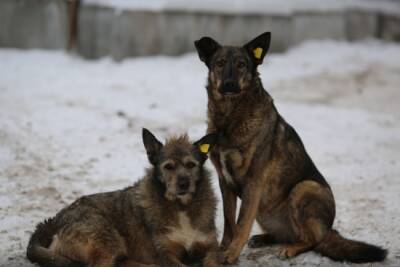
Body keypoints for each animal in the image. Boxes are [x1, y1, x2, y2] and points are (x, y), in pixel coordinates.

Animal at [26, 129, 220, 267]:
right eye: (168, 167)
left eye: (191, 165)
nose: (184, 184)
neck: (181, 207)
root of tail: (55, 220)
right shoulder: (165, 253)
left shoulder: (211, 248)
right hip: (107, 242)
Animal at [194, 32, 388, 264]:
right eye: (220, 63)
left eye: (242, 64)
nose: (229, 84)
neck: (230, 119)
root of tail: (329, 230)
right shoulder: (225, 181)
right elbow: (229, 221)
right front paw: (223, 248)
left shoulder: (253, 182)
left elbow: (241, 223)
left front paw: (231, 254)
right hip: (266, 209)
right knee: (287, 235)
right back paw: (265, 238)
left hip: (304, 188)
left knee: (313, 241)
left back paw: (292, 248)